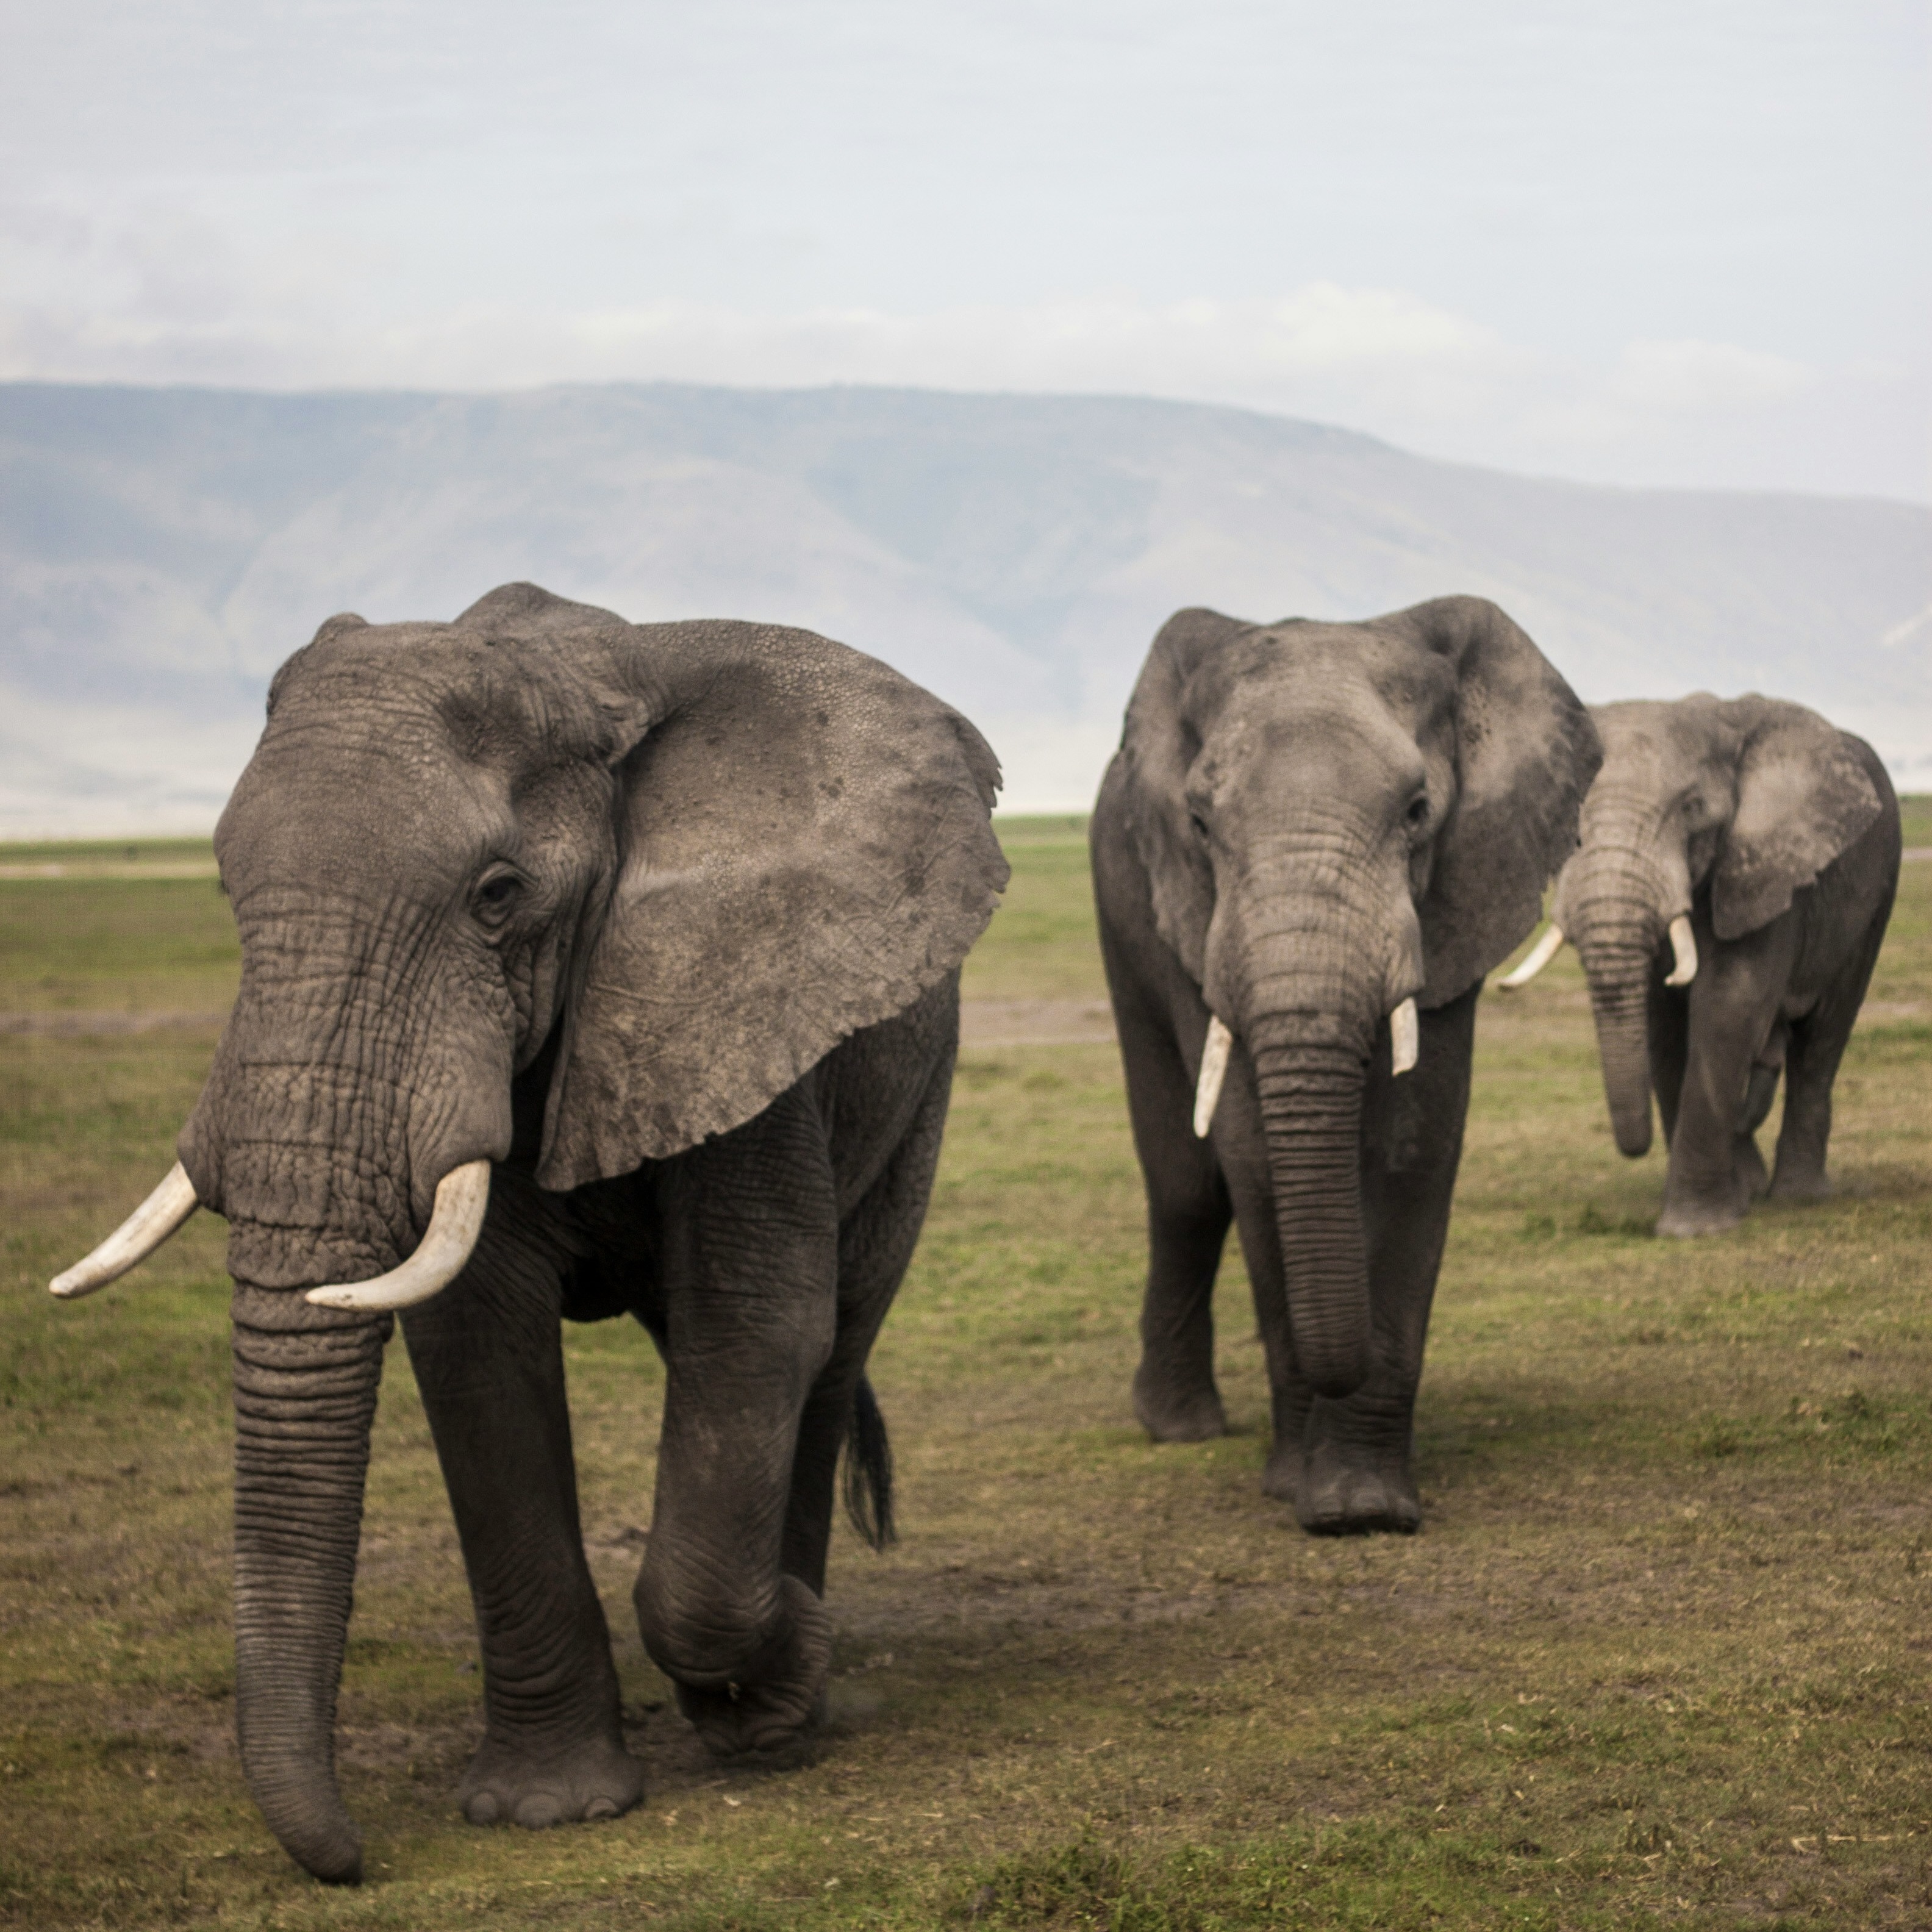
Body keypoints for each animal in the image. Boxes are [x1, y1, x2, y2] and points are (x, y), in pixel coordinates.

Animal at [49, 583, 1012, 1885]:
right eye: (222, 886)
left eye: (497, 894)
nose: (351, 1858)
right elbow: (476, 1350)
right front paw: (544, 1810)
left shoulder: (737, 997)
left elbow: (756, 1327)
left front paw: (776, 1678)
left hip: (917, 1090)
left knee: (831, 1347)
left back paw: (785, 1704)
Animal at [1089, 595, 1600, 1530]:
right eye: (1200, 825)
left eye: (1418, 811)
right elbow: (1252, 1155)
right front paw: (1302, 1491)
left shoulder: (1456, 897)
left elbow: (1412, 1147)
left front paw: (1363, 1507)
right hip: (1121, 902)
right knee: (1186, 1185)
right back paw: (1179, 1428)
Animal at [1491, 695, 1901, 1236]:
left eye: (1692, 811)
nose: (1635, 1147)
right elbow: (1664, 1028)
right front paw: (1729, 1203)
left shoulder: (1763, 871)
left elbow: (1730, 1005)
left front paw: (1694, 1229)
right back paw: (1753, 1186)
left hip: (1877, 895)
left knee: (1823, 1038)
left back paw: (1798, 1196)